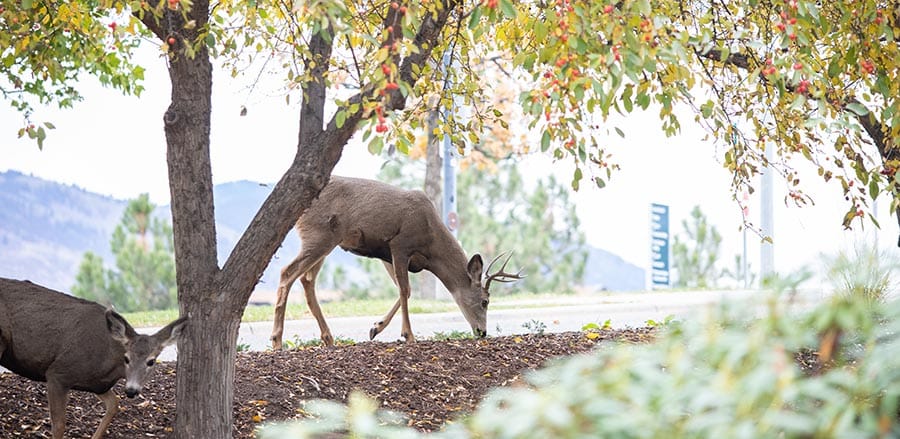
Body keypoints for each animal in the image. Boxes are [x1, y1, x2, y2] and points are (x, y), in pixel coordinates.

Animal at [0, 278, 187, 439]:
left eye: (151, 361)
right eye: (126, 358)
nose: (131, 390)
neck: (108, 361)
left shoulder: (98, 385)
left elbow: (114, 404)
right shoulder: (57, 374)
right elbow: (59, 425)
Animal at [268, 177, 520, 348]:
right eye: (485, 301)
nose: (482, 332)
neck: (431, 244)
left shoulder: (386, 254)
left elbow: (403, 291)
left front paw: (375, 328)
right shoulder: (400, 244)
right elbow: (405, 289)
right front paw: (408, 335)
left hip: (327, 242)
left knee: (306, 280)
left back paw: (328, 339)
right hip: (319, 235)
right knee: (287, 272)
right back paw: (277, 340)